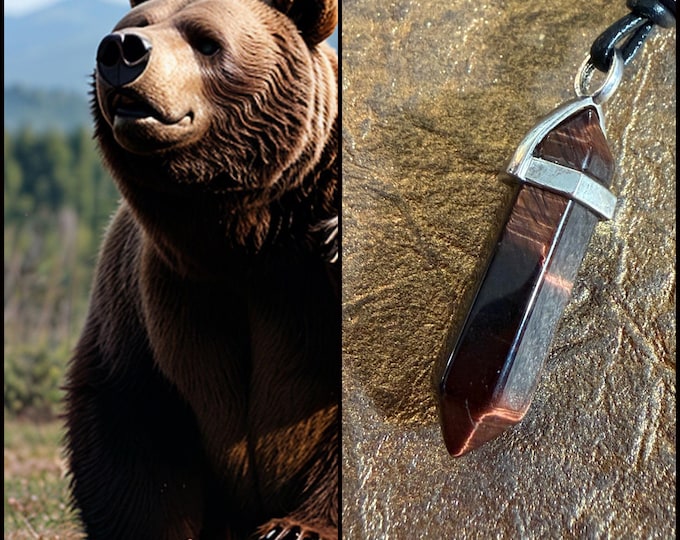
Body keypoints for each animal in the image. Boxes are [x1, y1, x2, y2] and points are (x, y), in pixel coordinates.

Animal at [62, 0, 339, 538]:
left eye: (207, 41)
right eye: (134, 26)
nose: (121, 51)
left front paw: (293, 528)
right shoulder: (153, 292)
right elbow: (131, 418)